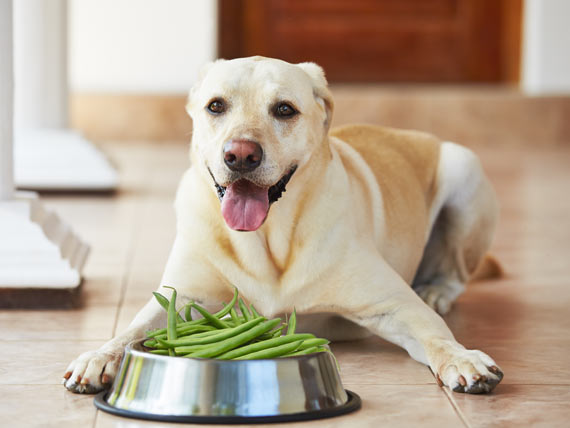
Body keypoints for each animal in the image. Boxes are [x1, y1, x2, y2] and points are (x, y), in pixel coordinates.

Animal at [64, 56, 502, 394]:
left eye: (285, 109)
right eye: (216, 106)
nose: (240, 155)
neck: (267, 239)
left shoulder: (394, 304)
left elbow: (436, 335)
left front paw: (463, 358)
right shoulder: (181, 298)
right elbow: (130, 330)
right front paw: (100, 356)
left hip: (463, 168)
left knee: (455, 273)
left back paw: (437, 290)